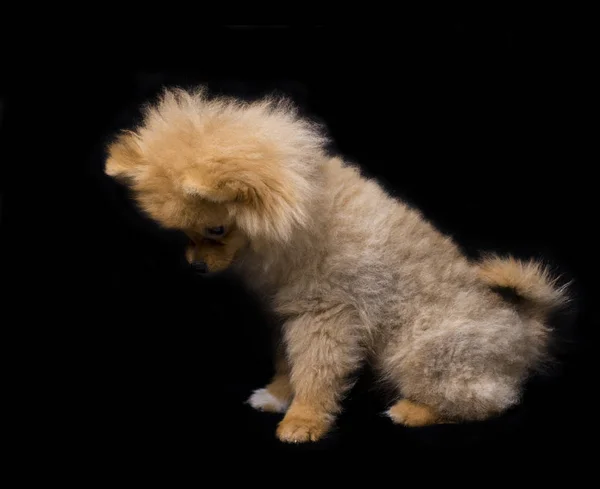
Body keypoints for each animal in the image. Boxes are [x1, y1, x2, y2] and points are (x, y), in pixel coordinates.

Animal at [103, 86, 568, 442]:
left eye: (216, 229)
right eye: (185, 233)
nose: (196, 266)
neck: (302, 223)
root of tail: (526, 329)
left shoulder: (326, 316)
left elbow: (316, 372)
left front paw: (303, 420)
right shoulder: (287, 312)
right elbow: (288, 362)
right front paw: (277, 395)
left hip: (425, 350)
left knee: (491, 399)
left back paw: (414, 410)